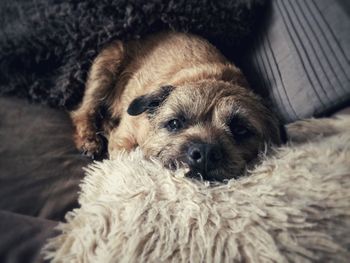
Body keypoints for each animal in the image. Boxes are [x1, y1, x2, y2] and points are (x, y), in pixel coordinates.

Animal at [70, 32, 284, 182]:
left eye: (240, 130)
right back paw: (89, 140)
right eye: (174, 123)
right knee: (83, 111)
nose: (205, 153)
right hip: (106, 66)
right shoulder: (124, 137)